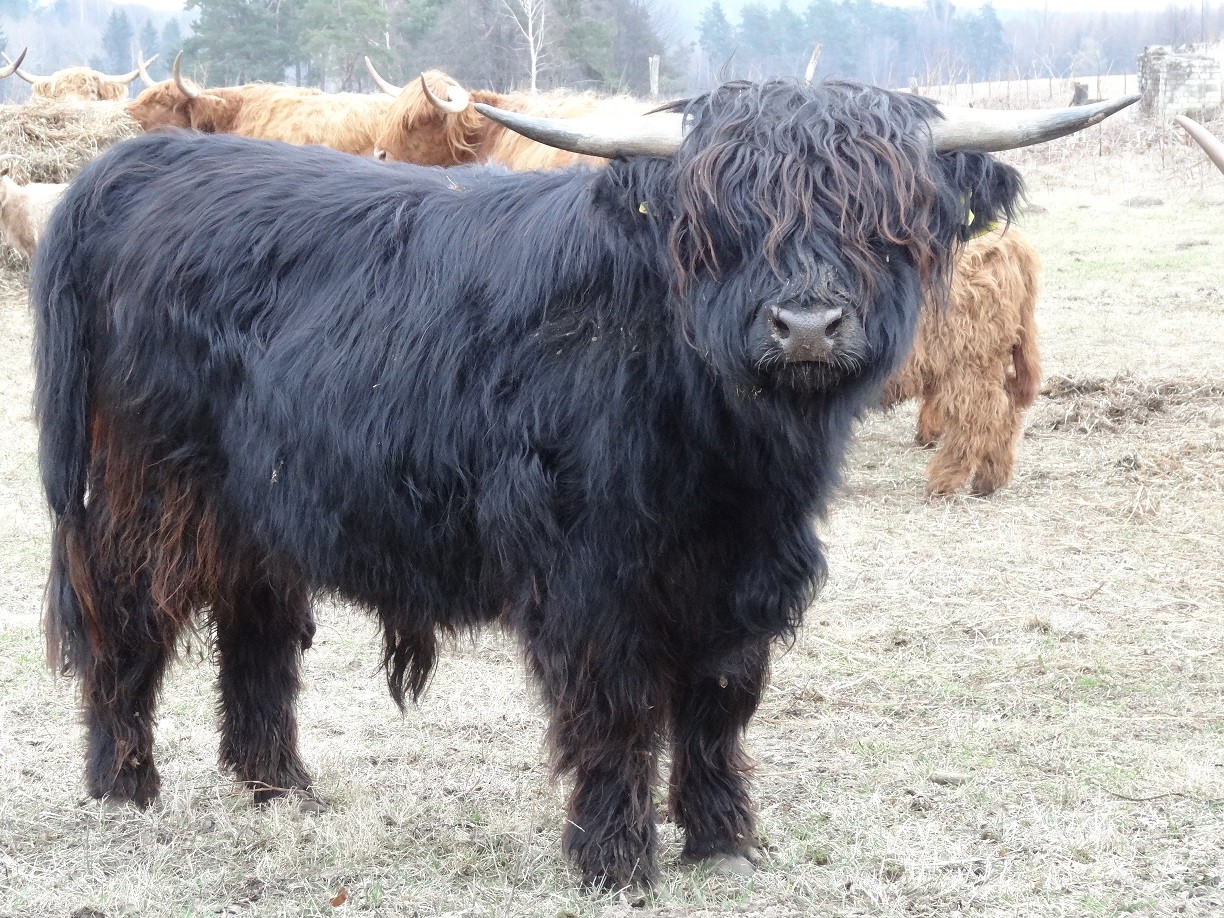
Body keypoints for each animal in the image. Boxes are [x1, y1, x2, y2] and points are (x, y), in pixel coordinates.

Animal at [882, 226, 1042, 496]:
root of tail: (1002, 242)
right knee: (1006, 409)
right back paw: (989, 479)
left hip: (969, 363)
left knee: (976, 415)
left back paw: (944, 480)